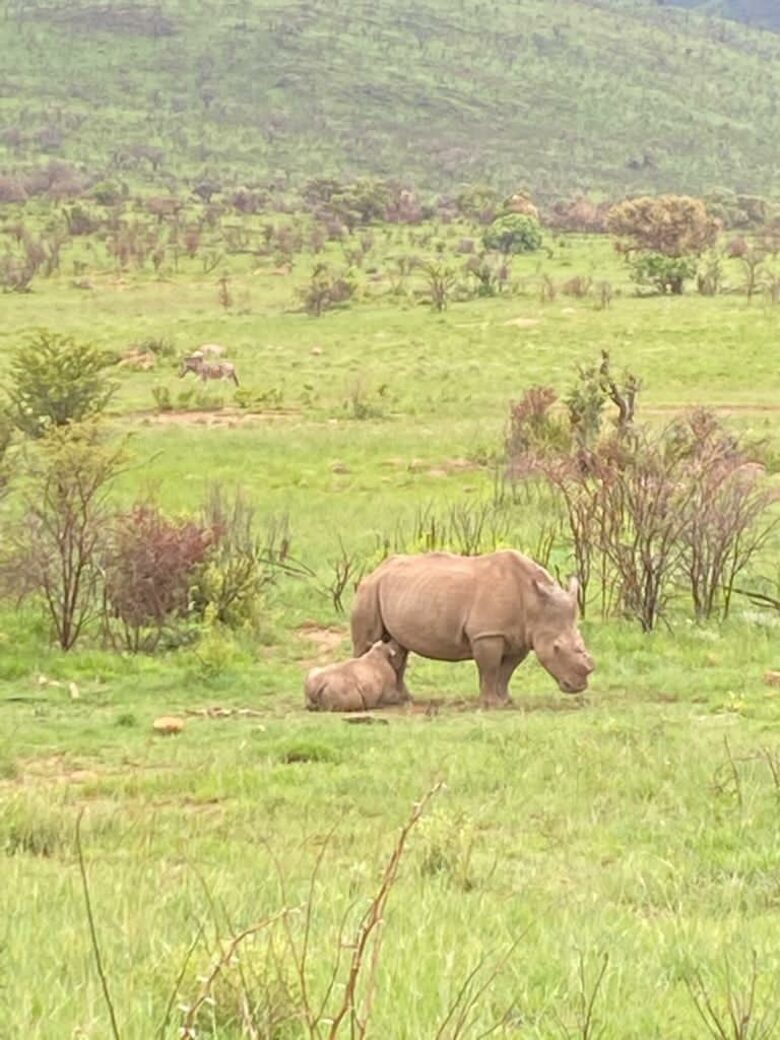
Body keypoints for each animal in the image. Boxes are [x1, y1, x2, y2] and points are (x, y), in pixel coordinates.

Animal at [351, 550, 594, 708]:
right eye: (556, 648)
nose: (578, 687)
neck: (535, 605)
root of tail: (376, 569)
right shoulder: (487, 634)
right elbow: (490, 668)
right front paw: (491, 704)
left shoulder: (520, 637)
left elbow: (506, 671)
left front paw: (506, 701)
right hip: (369, 589)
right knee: (368, 642)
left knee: (399, 647)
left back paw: (403, 700)